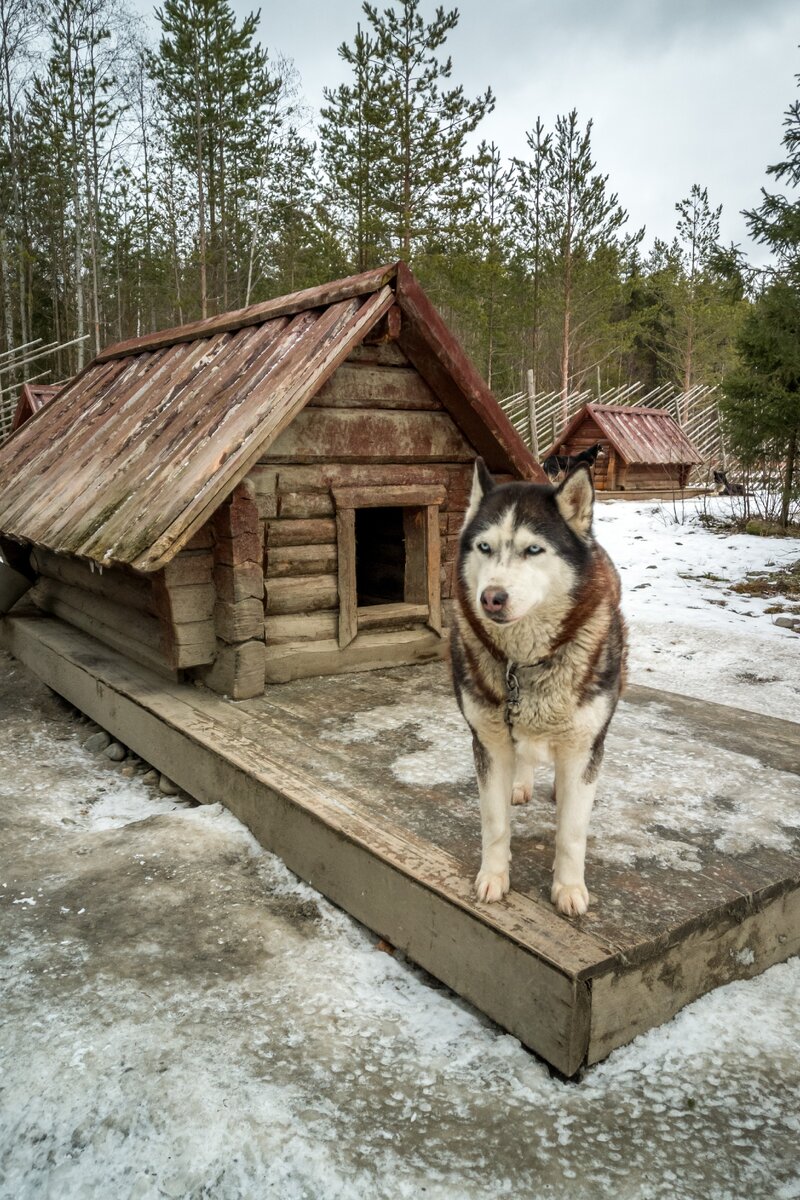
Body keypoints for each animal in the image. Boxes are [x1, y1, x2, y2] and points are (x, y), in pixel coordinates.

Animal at [450, 458, 623, 916]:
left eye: (533, 550)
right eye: (484, 547)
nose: (492, 597)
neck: (523, 663)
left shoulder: (585, 744)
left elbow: (572, 834)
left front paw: (568, 887)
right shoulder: (489, 740)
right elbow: (494, 823)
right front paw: (494, 877)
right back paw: (520, 783)